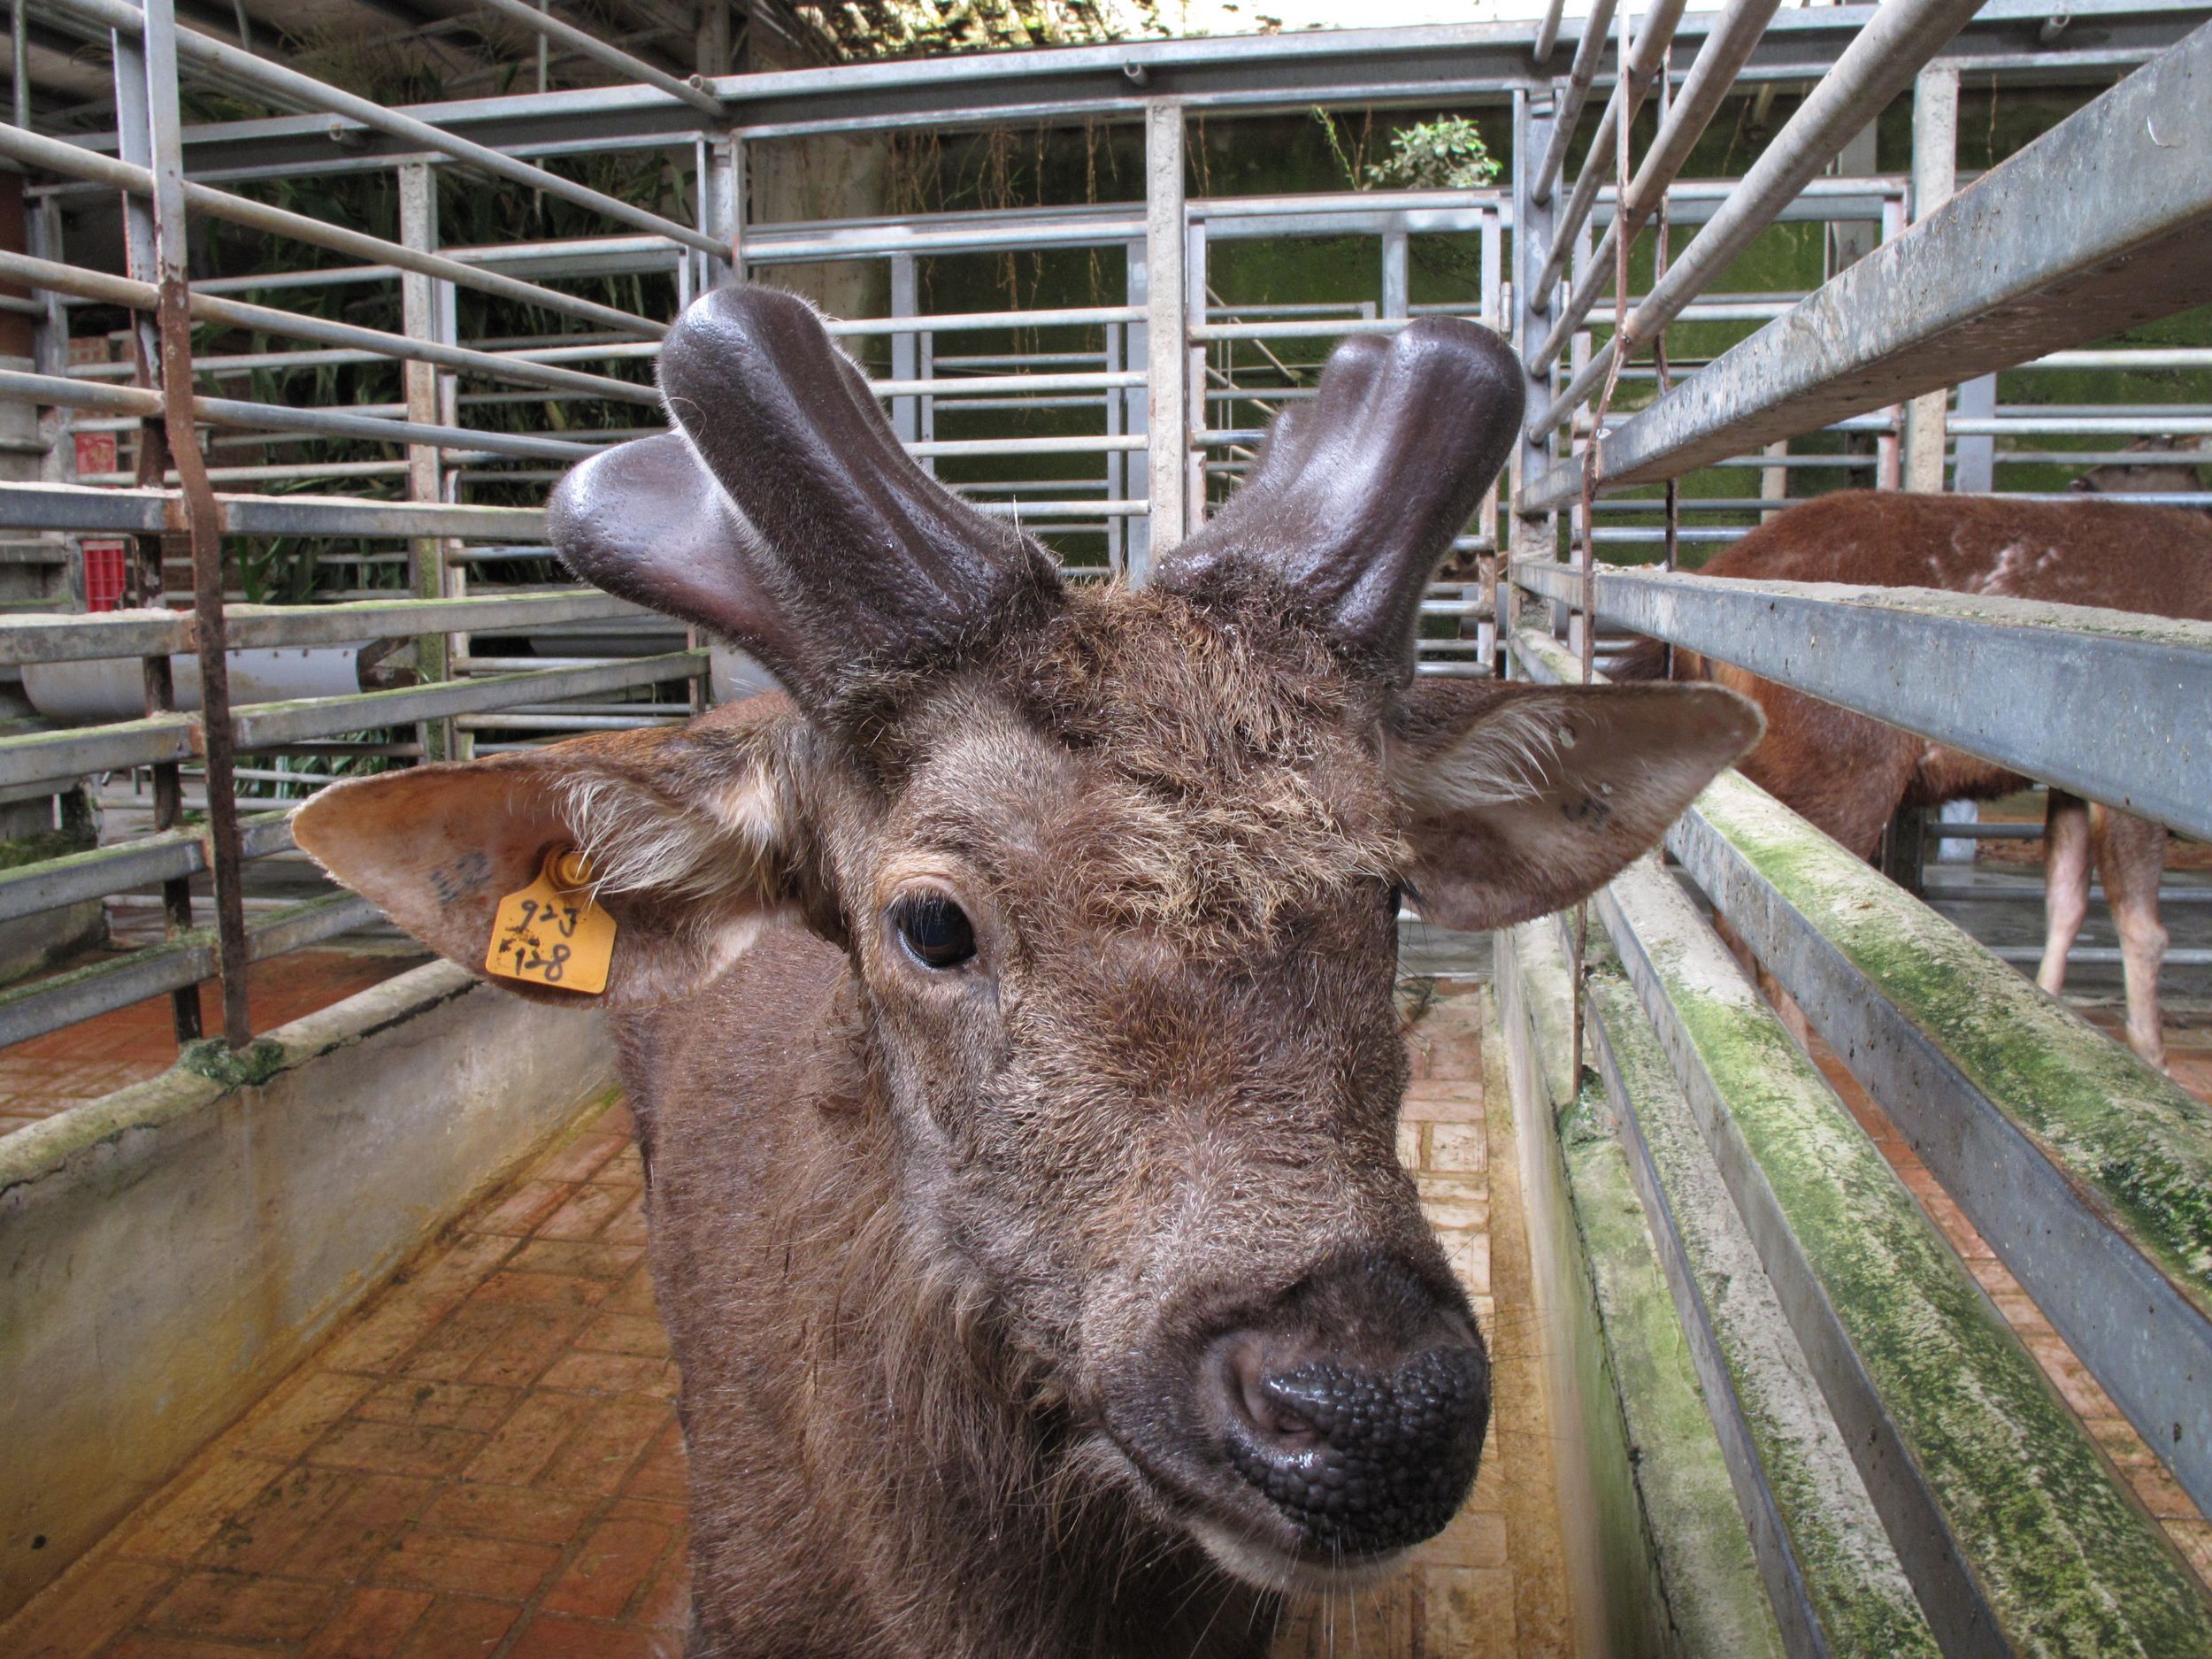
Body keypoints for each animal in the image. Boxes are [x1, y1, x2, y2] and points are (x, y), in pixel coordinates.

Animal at [1610, 487, 2212, 1071]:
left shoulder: (2073, 780)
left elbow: (2064, 898)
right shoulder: (2137, 771)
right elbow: (2142, 927)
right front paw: (2154, 1060)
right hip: (1841, 778)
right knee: (1782, 927)